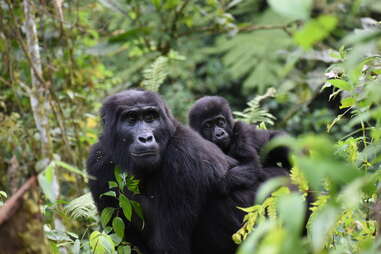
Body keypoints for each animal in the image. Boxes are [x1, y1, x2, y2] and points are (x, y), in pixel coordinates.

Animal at [87, 90, 258, 254]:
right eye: (131, 119)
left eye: (150, 118)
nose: (146, 138)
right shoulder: (97, 162)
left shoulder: (183, 158)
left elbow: (169, 245)